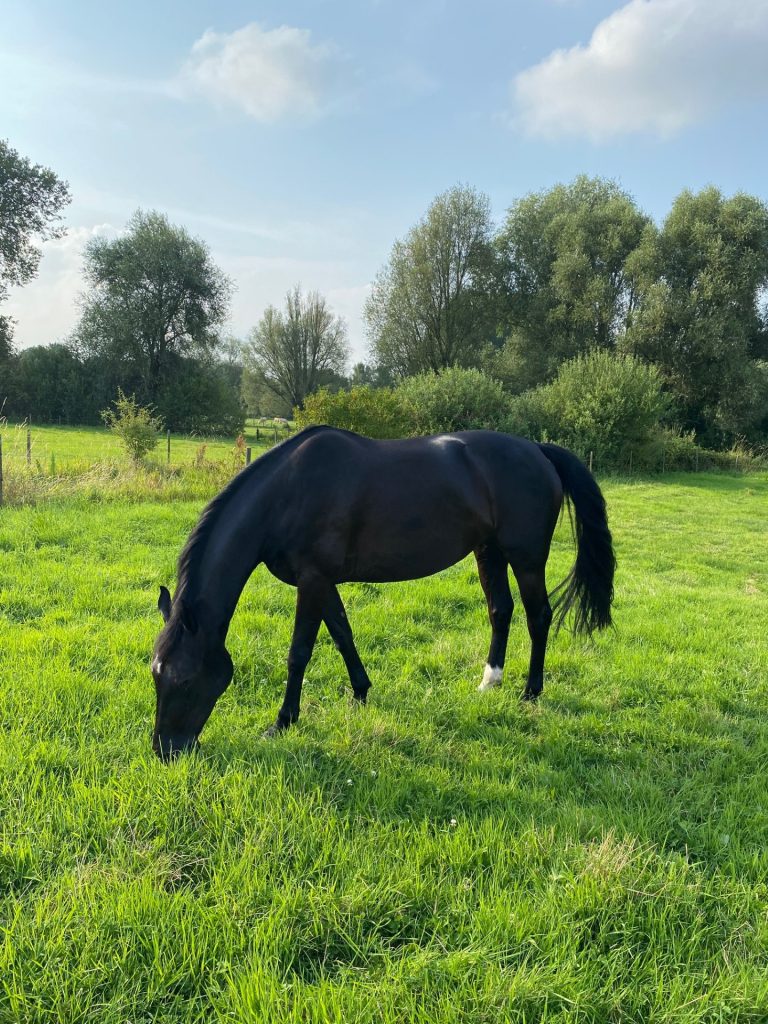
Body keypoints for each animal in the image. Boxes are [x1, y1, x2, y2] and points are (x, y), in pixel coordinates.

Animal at [153, 423, 618, 761]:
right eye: (155, 674)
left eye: (184, 679)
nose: (166, 751)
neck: (288, 492)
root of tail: (538, 450)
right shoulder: (322, 581)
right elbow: (342, 633)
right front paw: (360, 693)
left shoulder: (313, 579)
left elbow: (299, 652)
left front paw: (282, 722)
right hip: (489, 551)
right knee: (499, 611)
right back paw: (490, 682)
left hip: (525, 557)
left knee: (538, 616)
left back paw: (530, 693)